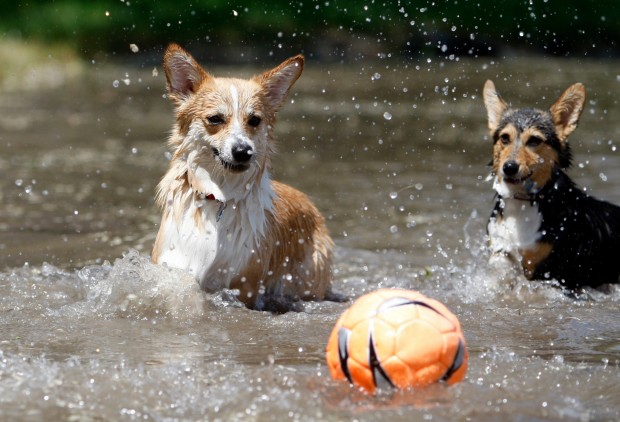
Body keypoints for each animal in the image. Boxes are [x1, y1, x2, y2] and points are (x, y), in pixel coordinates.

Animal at [484, 80, 620, 290]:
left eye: (534, 141)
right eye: (505, 138)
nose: (509, 168)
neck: (524, 202)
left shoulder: (546, 271)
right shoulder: (501, 250)